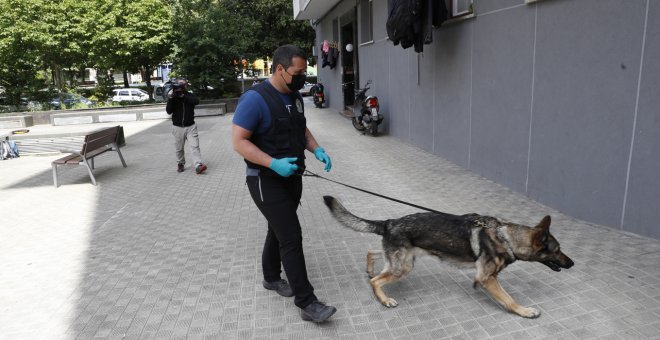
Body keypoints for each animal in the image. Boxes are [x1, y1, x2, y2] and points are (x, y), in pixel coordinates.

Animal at [320, 195, 572, 318]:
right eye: (558, 249)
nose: (572, 263)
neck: (505, 237)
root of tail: (390, 222)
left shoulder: (487, 279)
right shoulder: (487, 278)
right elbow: (509, 299)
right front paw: (524, 311)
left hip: (401, 260)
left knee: (373, 253)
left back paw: (370, 268)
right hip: (403, 267)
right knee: (375, 281)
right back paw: (384, 299)